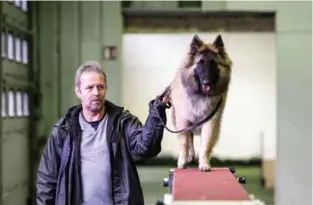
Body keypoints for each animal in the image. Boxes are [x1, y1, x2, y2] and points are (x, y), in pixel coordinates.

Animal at [166, 34, 232, 171]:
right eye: (200, 63)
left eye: (213, 63)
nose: (207, 82)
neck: (201, 95)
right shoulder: (183, 120)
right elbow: (185, 142)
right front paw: (182, 160)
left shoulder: (211, 121)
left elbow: (206, 144)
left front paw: (204, 163)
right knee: (189, 138)